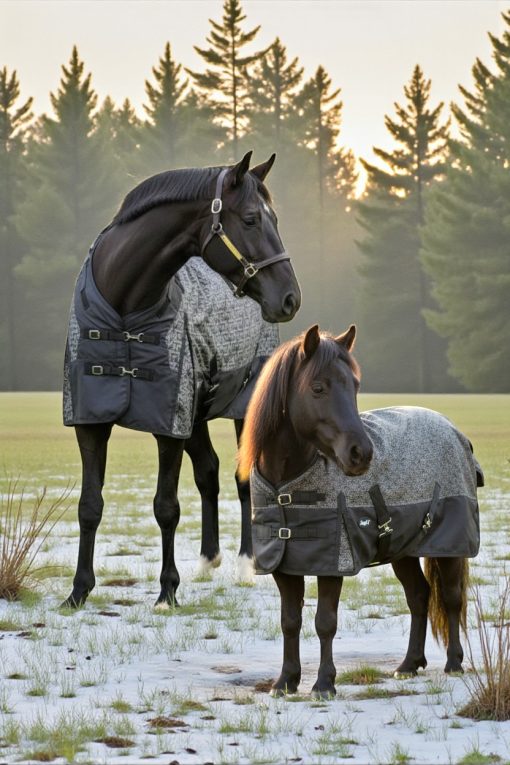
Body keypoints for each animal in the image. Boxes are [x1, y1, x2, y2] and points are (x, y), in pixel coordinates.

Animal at [62, 152, 301, 609]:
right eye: (250, 219)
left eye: (276, 219)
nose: (290, 298)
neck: (124, 308)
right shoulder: (91, 421)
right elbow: (90, 505)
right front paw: (78, 591)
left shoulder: (167, 424)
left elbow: (166, 507)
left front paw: (166, 590)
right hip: (197, 413)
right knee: (208, 471)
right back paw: (209, 560)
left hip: (240, 407)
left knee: (243, 480)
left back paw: (246, 564)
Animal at [237, 324, 482, 698]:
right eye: (318, 387)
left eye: (354, 385)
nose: (361, 454)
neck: (286, 487)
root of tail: (454, 431)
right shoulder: (284, 564)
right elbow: (290, 621)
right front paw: (286, 681)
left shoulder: (333, 563)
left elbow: (325, 622)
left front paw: (324, 683)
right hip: (403, 549)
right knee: (419, 596)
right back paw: (408, 665)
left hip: (449, 544)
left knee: (452, 598)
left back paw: (454, 662)